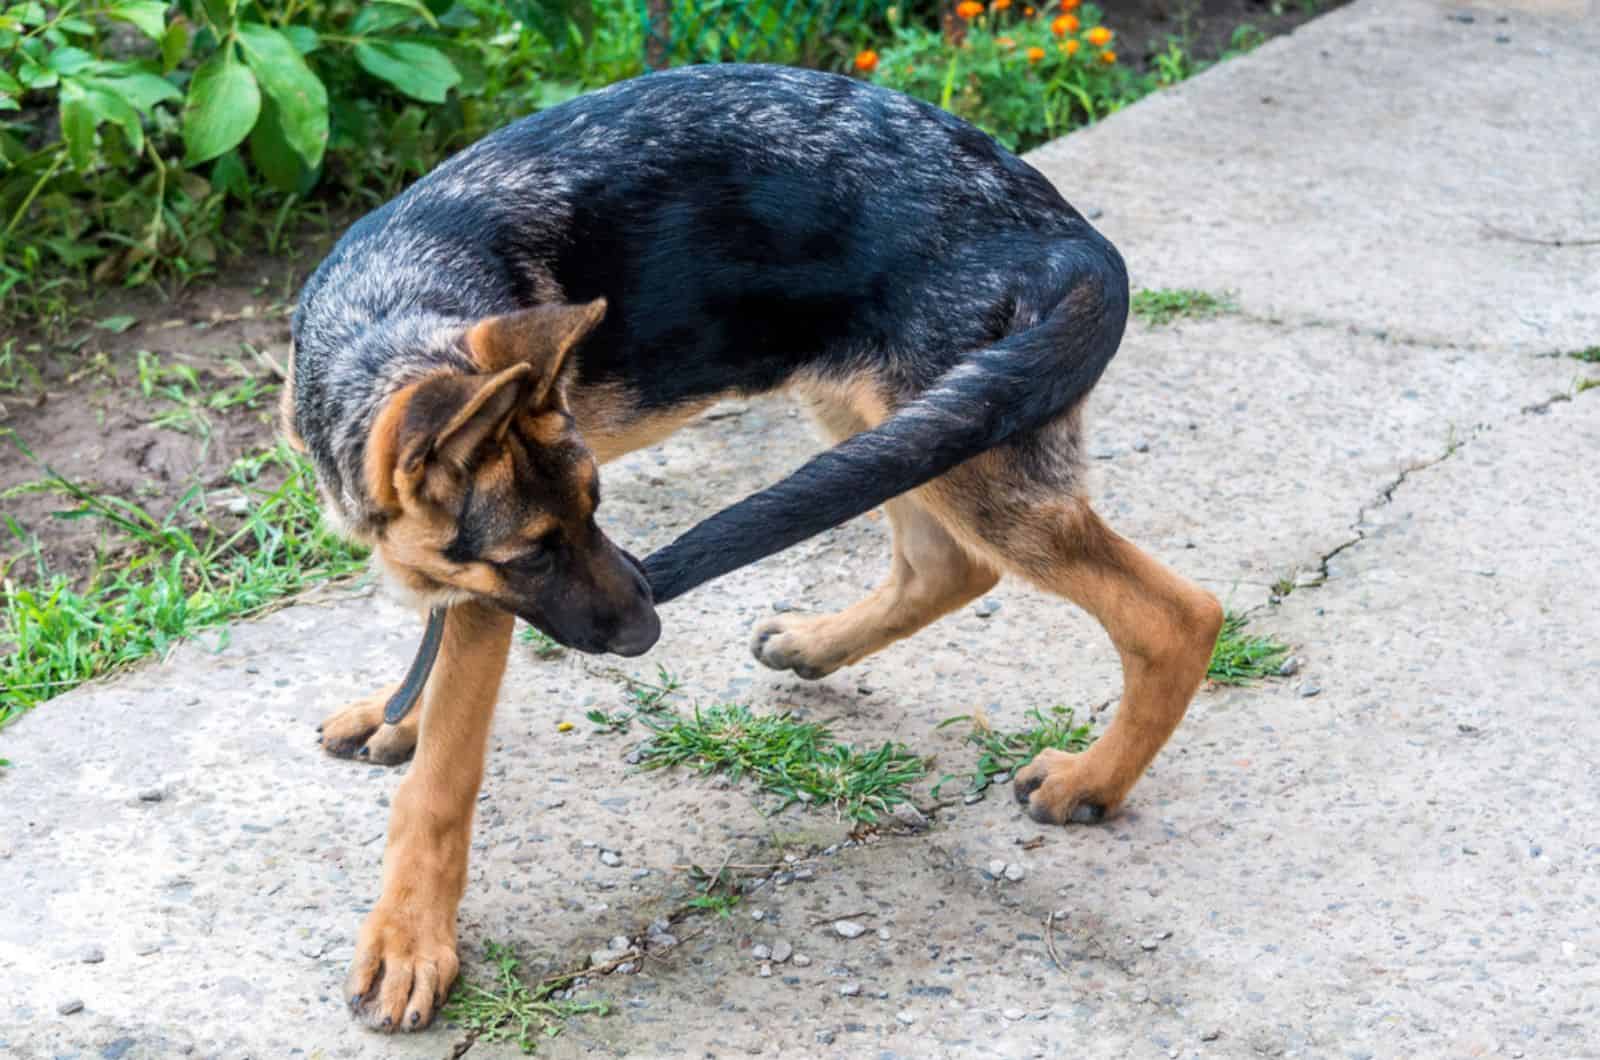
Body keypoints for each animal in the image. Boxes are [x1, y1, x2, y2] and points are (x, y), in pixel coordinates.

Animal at [281, 62, 1216, 1031]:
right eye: (538, 551)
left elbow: (443, 779)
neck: (388, 313)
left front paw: (408, 940)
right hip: (897, 423)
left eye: (596, 508)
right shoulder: (470, 578)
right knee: (948, 565)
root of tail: (1073, 241)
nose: (650, 631)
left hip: (963, 439)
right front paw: (398, 715)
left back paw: (1092, 781)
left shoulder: (483, 604)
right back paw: (816, 645)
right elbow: (430, 663)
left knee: (1176, 615)